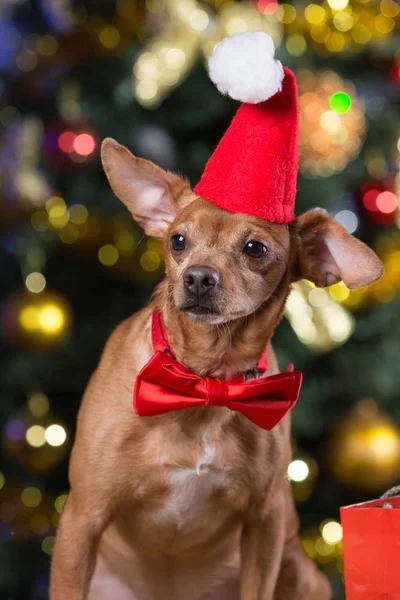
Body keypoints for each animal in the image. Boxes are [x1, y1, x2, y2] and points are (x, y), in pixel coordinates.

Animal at [50, 138, 384, 596]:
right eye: (177, 240)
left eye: (255, 248)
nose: (197, 278)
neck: (206, 380)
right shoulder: (83, 518)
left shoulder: (265, 521)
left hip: (301, 573)